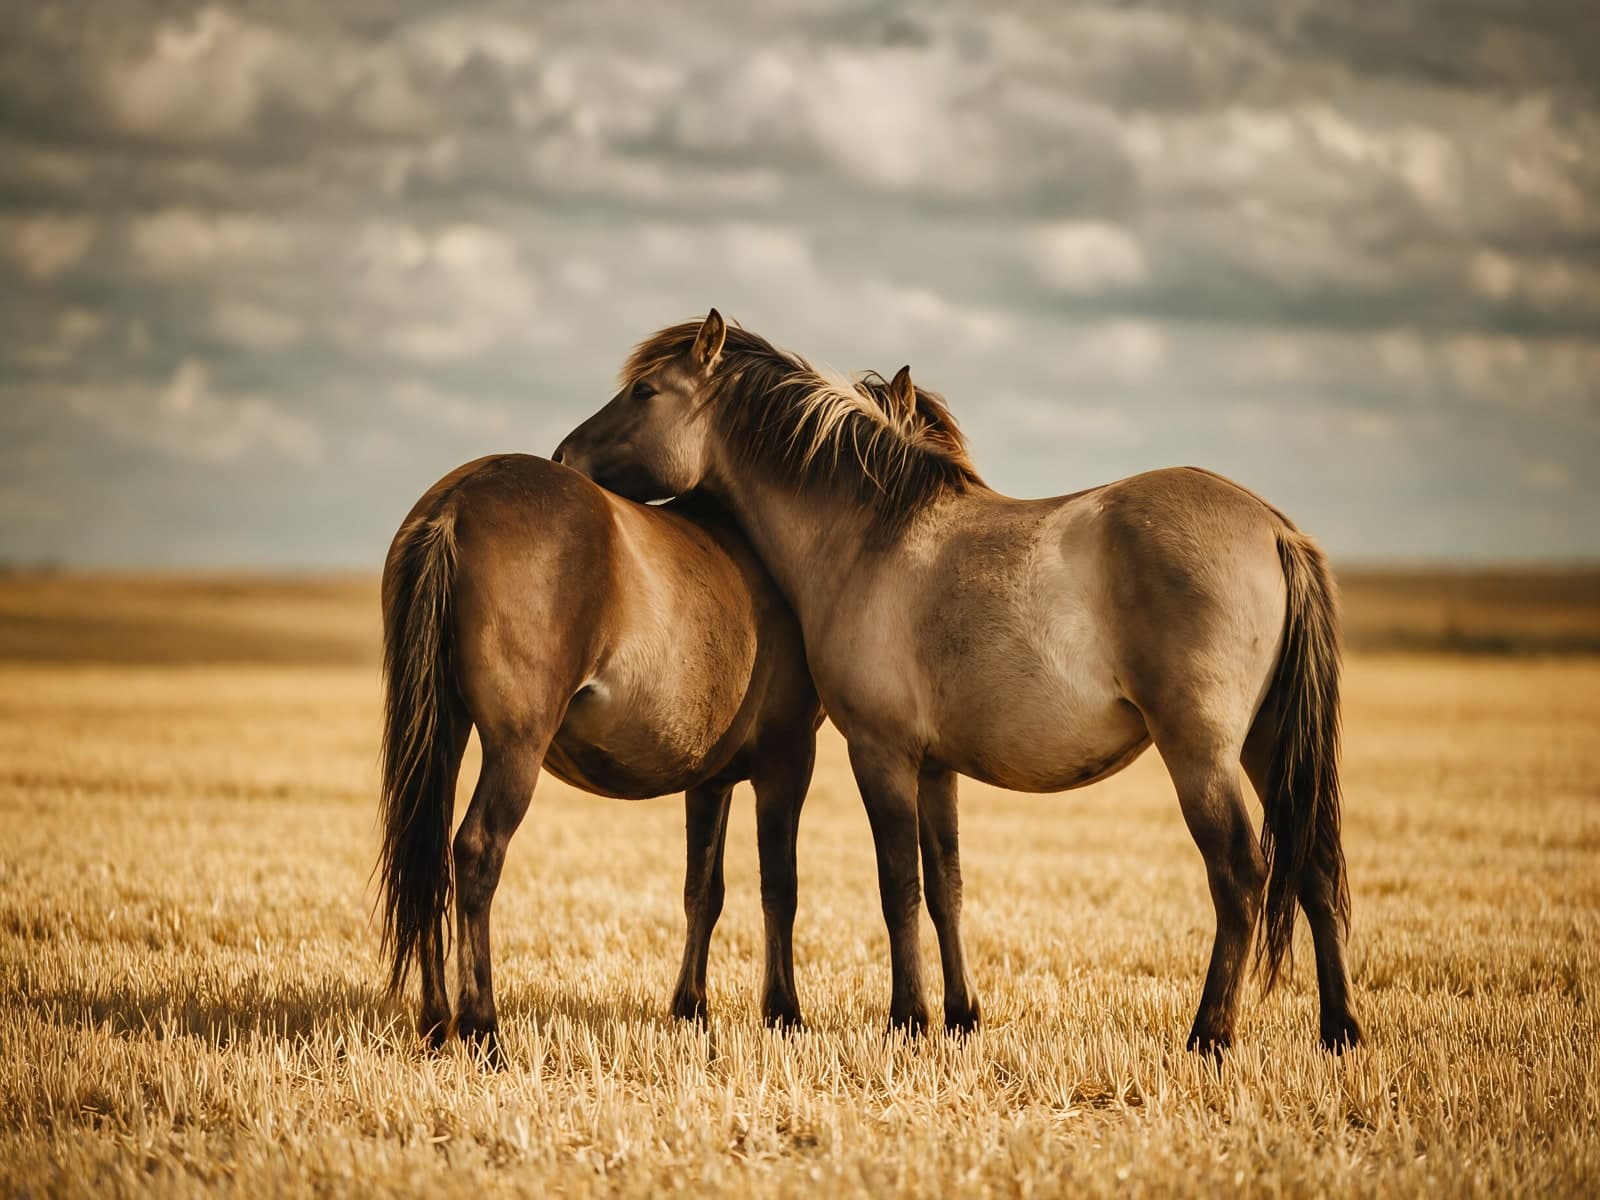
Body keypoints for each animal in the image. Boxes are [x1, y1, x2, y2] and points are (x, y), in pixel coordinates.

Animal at [553, 311, 1362, 1053]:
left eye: (644, 391)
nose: (564, 455)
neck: (867, 539)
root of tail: (1273, 529)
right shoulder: (936, 769)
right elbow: (946, 888)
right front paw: (960, 1015)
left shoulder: (880, 754)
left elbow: (898, 888)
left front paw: (907, 1019)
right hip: (1267, 746)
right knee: (1316, 870)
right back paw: (1340, 1029)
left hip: (1201, 753)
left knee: (1240, 873)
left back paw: (1210, 1033)